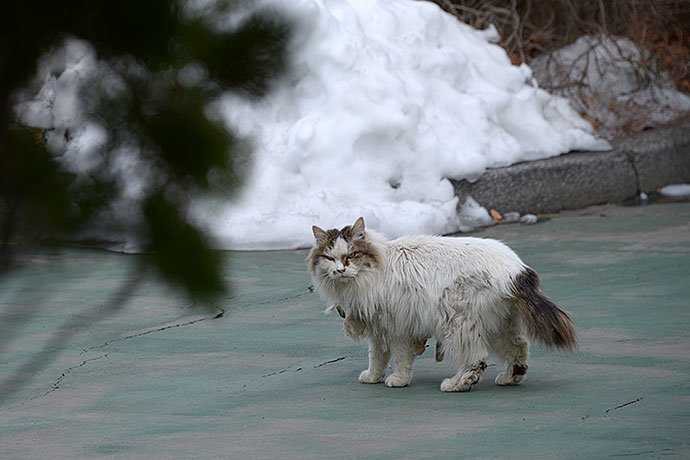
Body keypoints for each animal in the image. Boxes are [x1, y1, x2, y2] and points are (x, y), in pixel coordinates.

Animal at [308, 217, 576, 392]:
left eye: (351, 256)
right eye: (329, 258)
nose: (339, 270)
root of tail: (516, 269)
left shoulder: (397, 325)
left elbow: (399, 357)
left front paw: (398, 379)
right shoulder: (378, 326)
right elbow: (377, 355)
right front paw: (373, 376)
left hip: (459, 322)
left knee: (476, 359)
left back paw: (456, 384)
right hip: (499, 323)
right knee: (519, 347)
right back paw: (510, 377)